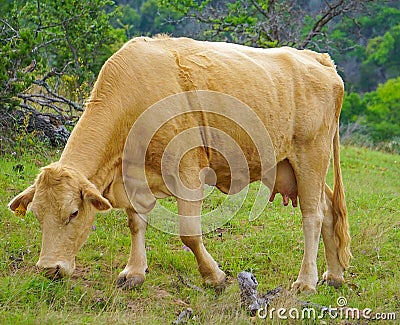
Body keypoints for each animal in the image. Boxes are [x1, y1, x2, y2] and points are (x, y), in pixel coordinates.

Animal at [8, 35, 350, 292]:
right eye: (37, 215)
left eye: (74, 213)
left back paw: (305, 281)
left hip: (311, 155)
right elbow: (136, 223)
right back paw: (333, 275)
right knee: (330, 209)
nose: (49, 268)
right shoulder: (134, 177)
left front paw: (215, 276)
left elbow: (189, 234)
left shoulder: (187, 171)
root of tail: (318, 59)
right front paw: (134, 272)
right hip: (290, 165)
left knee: (313, 216)